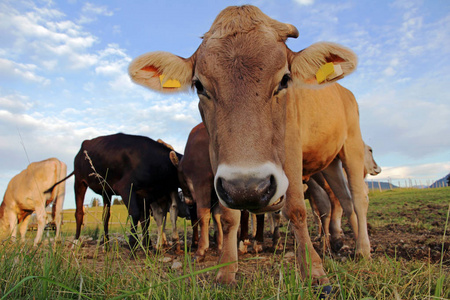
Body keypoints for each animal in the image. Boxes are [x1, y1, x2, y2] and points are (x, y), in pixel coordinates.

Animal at [168, 123, 224, 262]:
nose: (188, 200)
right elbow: (217, 216)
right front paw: (221, 246)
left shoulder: (201, 183)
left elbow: (203, 216)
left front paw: (201, 250)